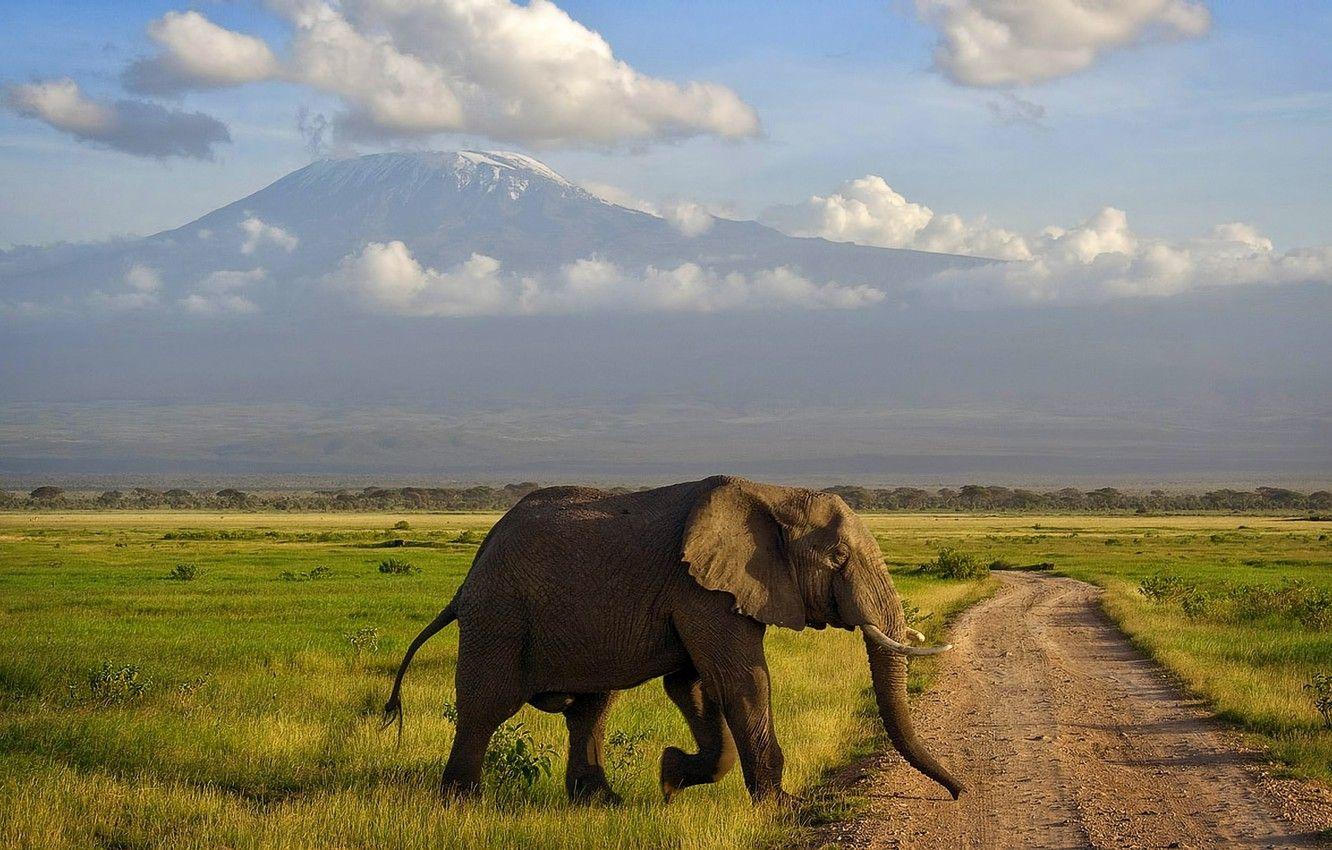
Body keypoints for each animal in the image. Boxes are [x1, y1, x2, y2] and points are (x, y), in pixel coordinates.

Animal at [382, 475, 963, 805]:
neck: (775, 496)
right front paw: (783, 808)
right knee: (486, 706)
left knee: (591, 708)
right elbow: (740, 682)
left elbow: (694, 687)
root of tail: (469, 575)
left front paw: (669, 778)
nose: (956, 793)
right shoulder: (699, 588)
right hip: (498, 616)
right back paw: (461, 804)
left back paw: (602, 804)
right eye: (838, 558)